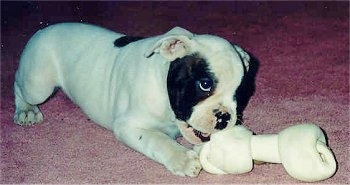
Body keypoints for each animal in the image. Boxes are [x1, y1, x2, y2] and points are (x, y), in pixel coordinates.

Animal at [12, 22, 250, 177]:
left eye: (239, 91)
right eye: (205, 84)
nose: (224, 117)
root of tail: (44, 29)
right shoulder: (128, 126)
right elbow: (157, 139)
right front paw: (181, 159)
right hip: (38, 85)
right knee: (18, 85)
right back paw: (26, 110)